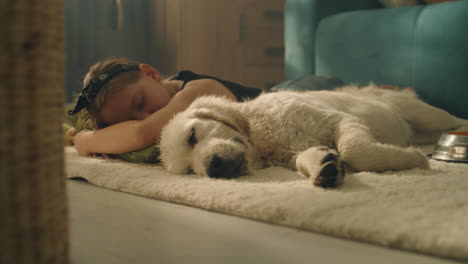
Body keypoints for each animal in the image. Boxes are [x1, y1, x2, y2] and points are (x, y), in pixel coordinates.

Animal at [158, 85, 468, 188]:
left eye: (192, 136)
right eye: (189, 171)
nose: (213, 167)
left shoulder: (339, 119)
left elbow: (355, 150)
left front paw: (413, 159)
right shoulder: (294, 152)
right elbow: (305, 159)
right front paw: (325, 166)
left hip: (426, 114)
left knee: (456, 119)